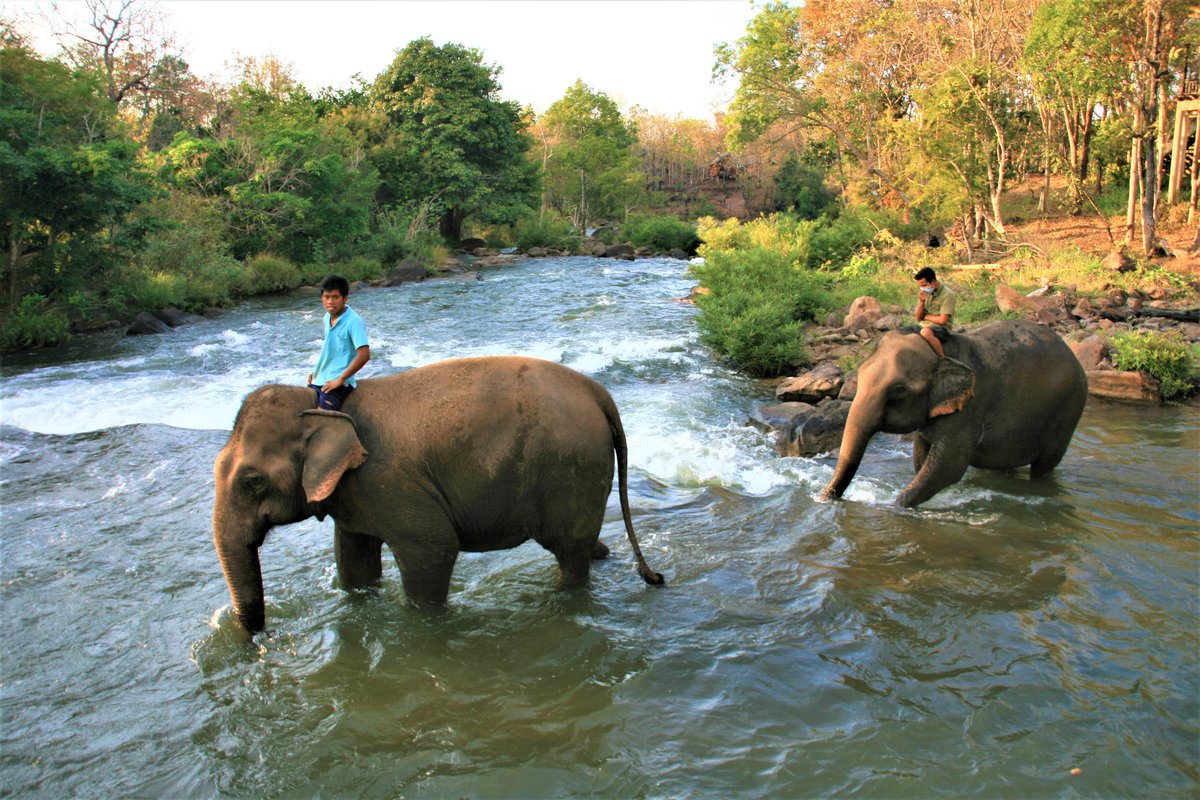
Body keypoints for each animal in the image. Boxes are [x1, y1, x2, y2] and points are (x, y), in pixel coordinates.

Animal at [214, 356, 664, 633]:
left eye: (252, 481)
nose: (260, 636)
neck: (321, 405)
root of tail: (599, 393)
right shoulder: (356, 495)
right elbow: (353, 561)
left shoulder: (389, 482)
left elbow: (433, 549)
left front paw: (423, 626)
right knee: (583, 543)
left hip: (572, 466)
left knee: (569, 552)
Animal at [820, 319, 1088, 507]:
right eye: (860, 373)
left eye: (898, 391)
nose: (824, 499)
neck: (940, 351)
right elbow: (921, 457)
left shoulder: (970, 407)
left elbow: (949, 466)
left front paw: (895, 505)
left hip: (1068, 412)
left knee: (1045, 466)